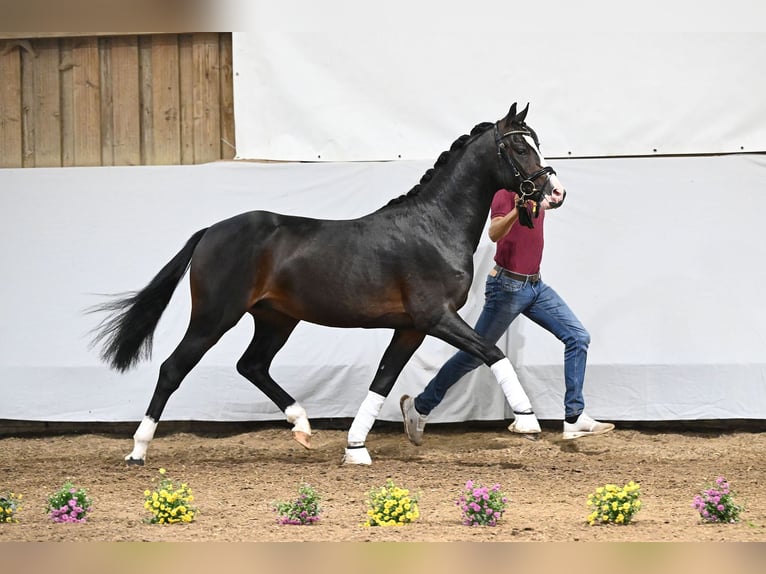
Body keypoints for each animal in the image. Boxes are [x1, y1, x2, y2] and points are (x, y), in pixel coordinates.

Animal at [90, 101, 568, 466]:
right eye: (520, 146)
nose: (555, 193)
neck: (435, 226)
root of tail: (210, 231)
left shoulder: (410, 327)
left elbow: (382, 380)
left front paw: (355, 449)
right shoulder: (436, 317)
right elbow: (490, 351)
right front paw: (527, 420)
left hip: (275, 319)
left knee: (252, 365)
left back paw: (302, 426)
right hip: (214, 317)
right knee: (173, 369)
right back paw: (138, 451)